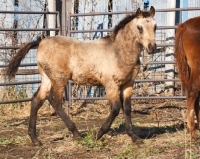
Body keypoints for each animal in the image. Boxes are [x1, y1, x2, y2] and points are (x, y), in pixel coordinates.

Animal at [6, 6, 157, 145]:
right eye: (140, 28)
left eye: (155, 26)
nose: (152, 48)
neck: (118, 52)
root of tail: (41, 42)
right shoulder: (110, 85)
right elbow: (115, 109)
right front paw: (98, 134)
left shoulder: (128, 84)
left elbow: (127, 108)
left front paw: (134, 136)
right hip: (59, 79)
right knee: (54, 100)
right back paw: (76, 133)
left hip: (47, 79)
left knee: (36, 100)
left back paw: (35, 139)